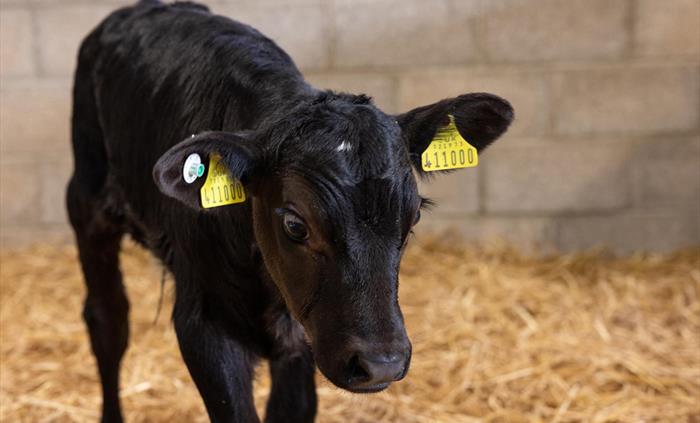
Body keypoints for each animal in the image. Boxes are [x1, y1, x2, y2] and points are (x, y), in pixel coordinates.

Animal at [66, 1, 513, 422]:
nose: (381, 364)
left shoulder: (303, 333)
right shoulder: (204, 324)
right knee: (108, 321)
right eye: (296, 225)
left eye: (413, 218)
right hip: (86, 201)